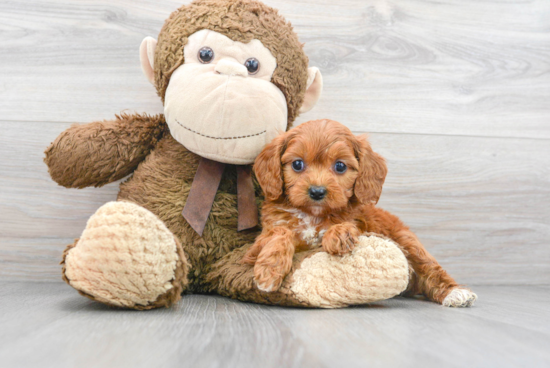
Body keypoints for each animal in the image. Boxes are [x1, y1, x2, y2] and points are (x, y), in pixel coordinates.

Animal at [243, 119, 478, 306]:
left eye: (340, 166)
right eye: (297, 164)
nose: (317, 191)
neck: (314, 214)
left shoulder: (361, 223)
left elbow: (346, 226)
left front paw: (338, 234)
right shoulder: (255, 245)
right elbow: (281, 232)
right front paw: (269, 271)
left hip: (407, 241)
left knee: (430, 269)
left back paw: (455, 293)